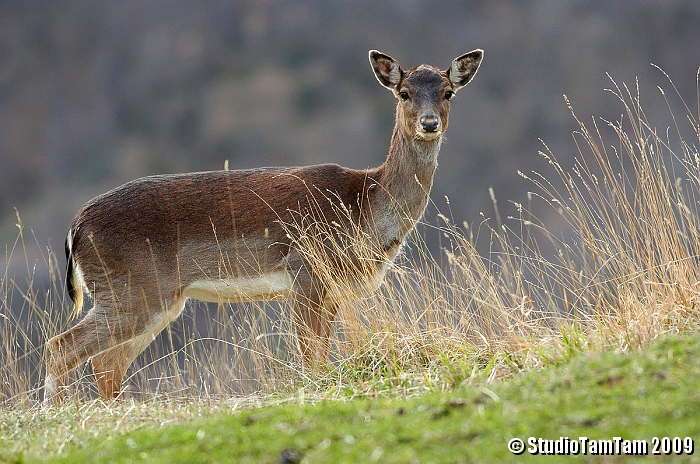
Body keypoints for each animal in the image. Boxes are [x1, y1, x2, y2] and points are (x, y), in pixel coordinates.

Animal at [43, 47, 482, 402]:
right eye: (403, 92)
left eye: (448, 92)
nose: (429, 123)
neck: (363, 208)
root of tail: (75, 229)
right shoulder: (305, 269)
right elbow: (311, 358)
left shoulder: (330, 289)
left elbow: (319, 353)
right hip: (131, 290)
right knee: (62, 348)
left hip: (148, 299)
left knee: (106, 363)